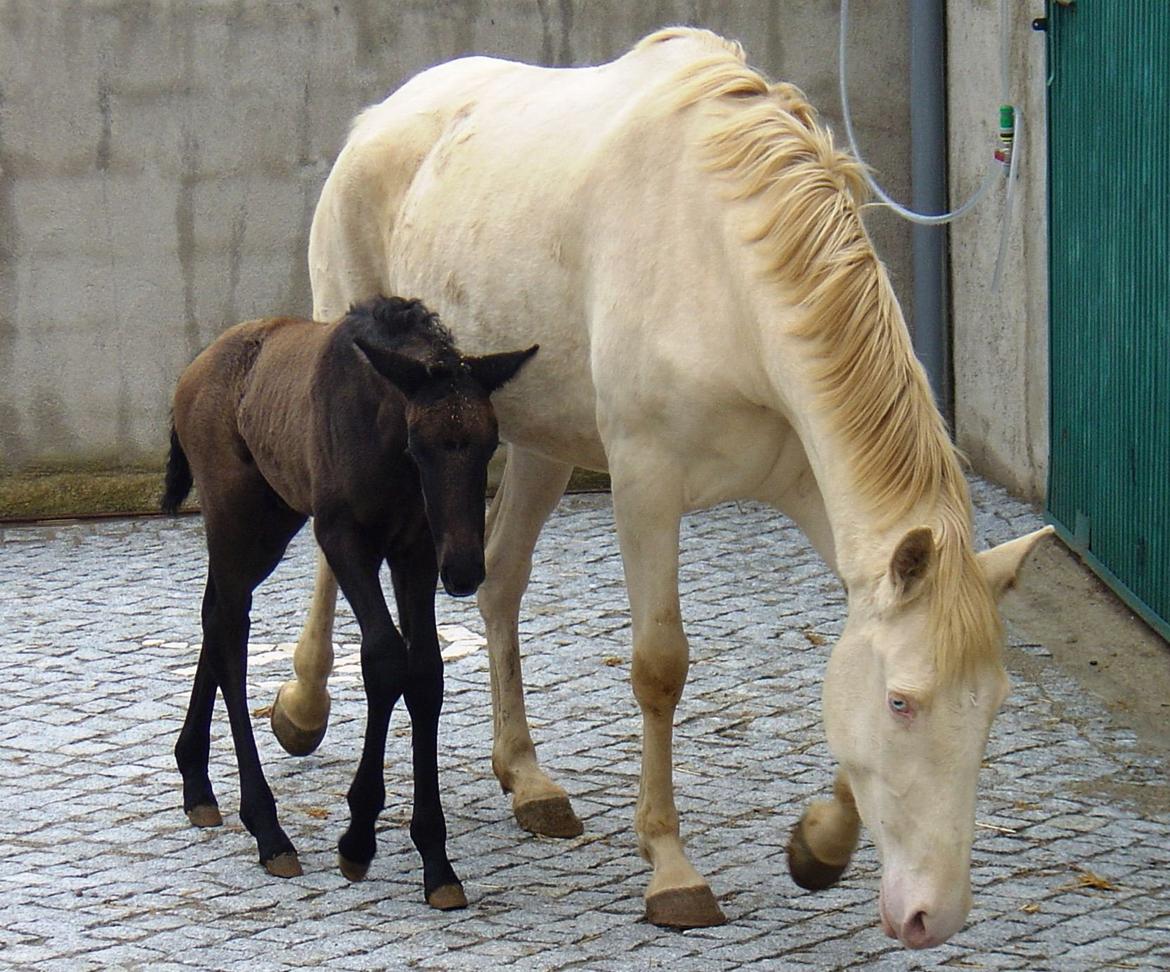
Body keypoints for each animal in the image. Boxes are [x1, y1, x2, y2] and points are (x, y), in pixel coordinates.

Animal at [162, 297, 535, 912]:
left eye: (489, 444)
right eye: (418, 444)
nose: (464, 570)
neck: (382, 438)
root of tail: (190, 373)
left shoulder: (415, 548)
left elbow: (425, 671)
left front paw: (436, 859)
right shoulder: (342, 536)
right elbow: (383, 658)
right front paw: (359, 837)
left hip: (274, 519)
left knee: (215, 614)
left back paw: (197, 780)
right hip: (233, 511)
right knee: (229, 630)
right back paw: (268, 828)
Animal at [276, 28, 1053, 949]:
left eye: (994, 704)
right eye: (903, 703)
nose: (934, 915)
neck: (724, 267)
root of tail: (377, 118)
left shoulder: (817, 492)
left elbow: (848, 653)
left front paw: (821, 844)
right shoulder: (645, 484)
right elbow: (659, 667)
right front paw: (672, 869)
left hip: (537, 441)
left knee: (501, 581)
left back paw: (527, 777)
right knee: (335, 551)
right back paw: (302, 704)